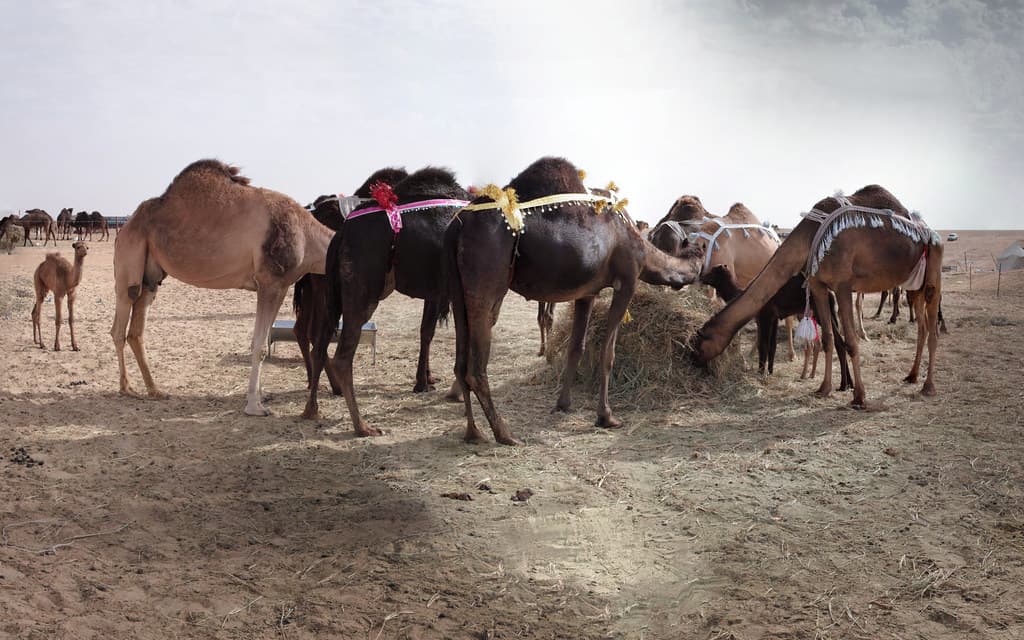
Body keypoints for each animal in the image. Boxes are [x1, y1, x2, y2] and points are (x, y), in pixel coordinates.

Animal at [111, 159, 334, 415]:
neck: (308, 237)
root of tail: (125, 226)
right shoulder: (270, 282)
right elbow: (259, 346)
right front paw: (254, 406)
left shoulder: (281, 285)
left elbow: (259, 343)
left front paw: (260, 397)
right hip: (129, 260)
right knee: (119, 326)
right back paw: (127, 388)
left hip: (151, 277)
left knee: (136, 331)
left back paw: (154, 390)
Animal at [303, 167, 472, 431]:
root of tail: (341, 235)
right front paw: (429, 385)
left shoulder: (437, 291)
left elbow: (428, 330)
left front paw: (429, 380)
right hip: (362, 291)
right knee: (341, 354)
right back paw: (362, 426)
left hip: (332, 292)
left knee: (319, 344)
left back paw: (312, 409)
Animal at [445, 157, 705, 445]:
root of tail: (456, 226)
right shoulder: (627, 281)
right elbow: (608, 353)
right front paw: (606, 417)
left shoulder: (587, 293)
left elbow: (576, 347)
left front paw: (563, 404)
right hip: (486, 285)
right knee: (476, 367)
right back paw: (504, 434)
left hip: (457, 289)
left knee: (460, 365)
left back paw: (473, 432)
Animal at [692, 185, 943, 407]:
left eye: (699, 343)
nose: (696, 363)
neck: (808, 237)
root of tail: (930, 231)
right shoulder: (818, 285)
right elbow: (828, 339)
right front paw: (824, 389)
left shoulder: (842, 285)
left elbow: (851, 341)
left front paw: (859, 397)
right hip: (914, 284)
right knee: (922, 327)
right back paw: (911, 376)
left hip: (933, 267)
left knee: (933, 329)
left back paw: (928, 386)